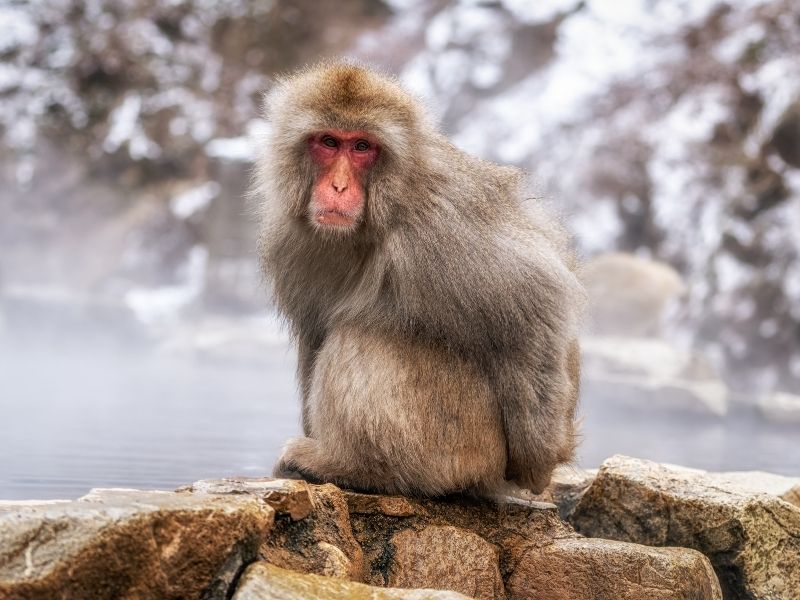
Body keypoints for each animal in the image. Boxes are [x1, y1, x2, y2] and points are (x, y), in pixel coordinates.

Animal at [253, 62, 585, 497]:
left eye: (362, 147)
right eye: (328, 142)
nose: (338, 186)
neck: (381, 211)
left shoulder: (443, 222)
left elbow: (537, 304)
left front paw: (536, 466)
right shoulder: (289, 238)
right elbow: (314, 333)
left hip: (464, 444)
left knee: (362, 334)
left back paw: (353, 466)